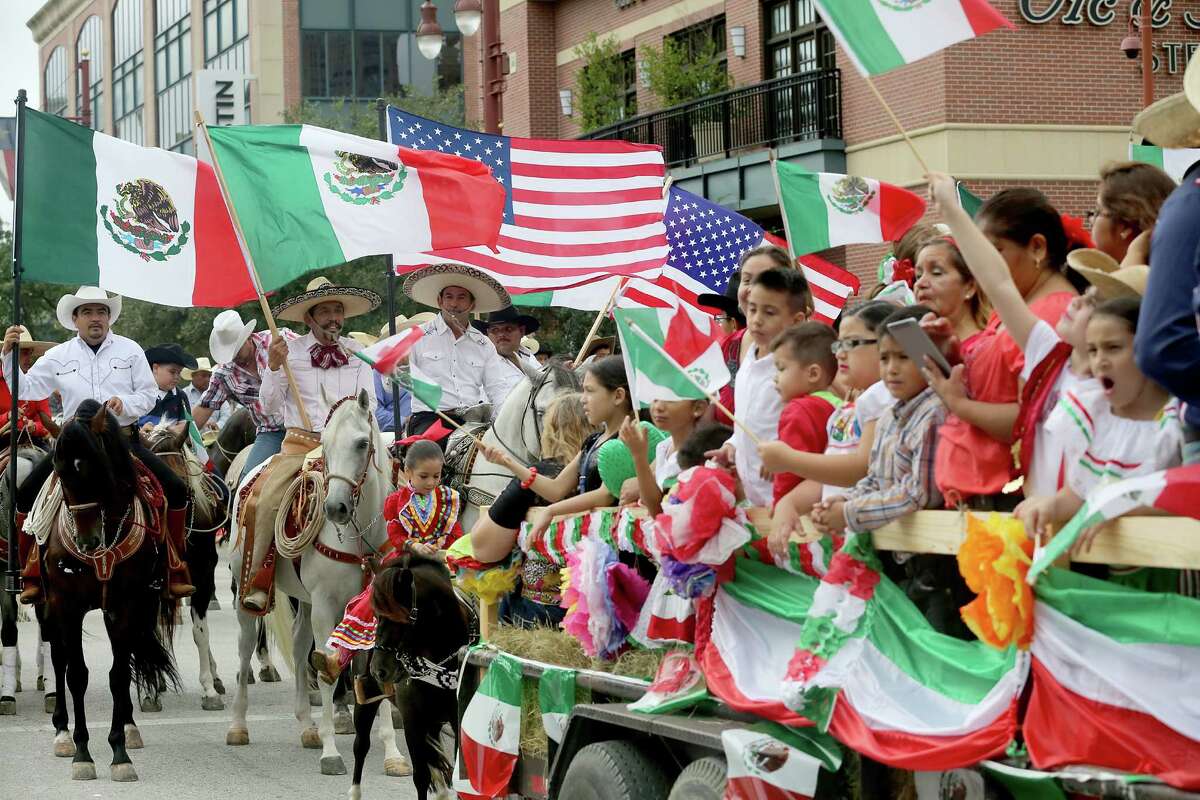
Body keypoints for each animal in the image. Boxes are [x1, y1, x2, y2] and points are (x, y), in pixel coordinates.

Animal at [39, 400, 177, 782]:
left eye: (96, 469)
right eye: (60, 474)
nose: (87, 541)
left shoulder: (125, 604)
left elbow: (118, 675)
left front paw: (119, 753)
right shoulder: (67, 604)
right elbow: (76, 674)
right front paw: (82, 753)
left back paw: (130, 729)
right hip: (48, 606)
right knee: (59, 659)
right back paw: (61, 733)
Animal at [225, 391, 408, 777]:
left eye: (362, 443)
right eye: (325, 444)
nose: (335, 507)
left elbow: (376, 672)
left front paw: (393, 754)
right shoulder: (326, 606)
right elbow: (327, 670)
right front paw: (331, 752)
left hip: (305, 603)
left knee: (298, 647)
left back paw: (307, 726)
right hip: (246, 593)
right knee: (246, 646)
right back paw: (238, 725)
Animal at [350, 554, 475, 800]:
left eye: (403, 617)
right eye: (376, 614)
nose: (379, 670)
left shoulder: (457, 718)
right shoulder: (412, 718)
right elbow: (421, 776)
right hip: (365, 701)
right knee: (361, 746)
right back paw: (354, 792)